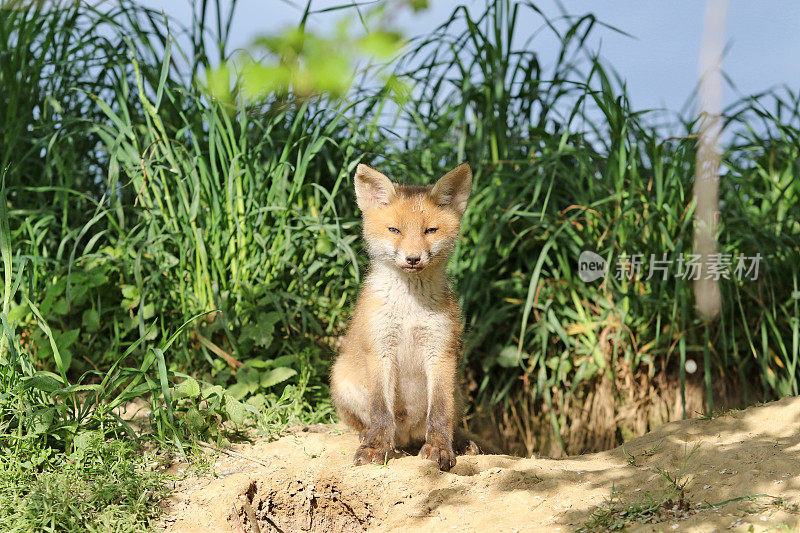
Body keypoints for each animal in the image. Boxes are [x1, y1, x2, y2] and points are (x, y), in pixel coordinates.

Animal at [330, 162, 478, 470]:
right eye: (394, 230)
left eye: (430, 230)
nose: (412, 258)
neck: (410, 310)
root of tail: (408, 436)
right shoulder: (380, 349)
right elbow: (380, 411)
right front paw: (376, 446)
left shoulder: (441, 351)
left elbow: (440, 413)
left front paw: (439, 448)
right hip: (340, 376)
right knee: (364, 422)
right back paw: (367, 434)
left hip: (458, 390)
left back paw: (458, 442)